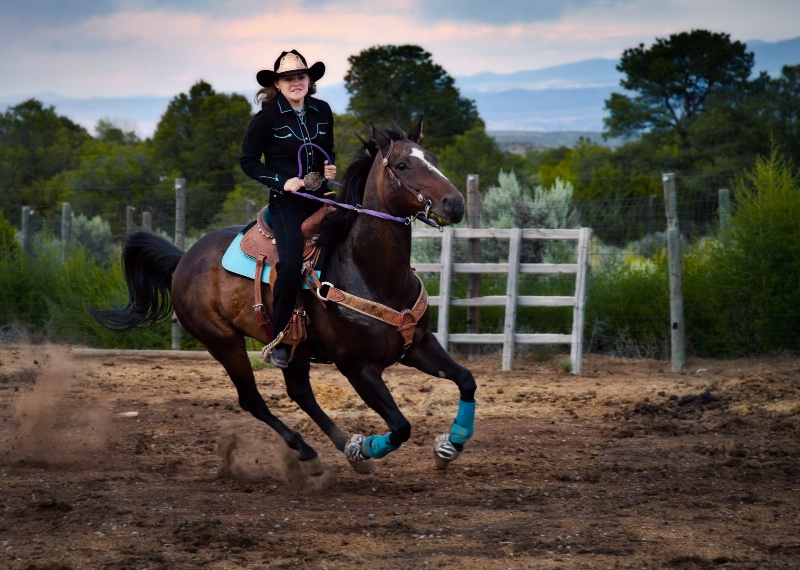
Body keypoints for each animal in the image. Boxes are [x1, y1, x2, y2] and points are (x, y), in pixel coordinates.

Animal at [93, 120, 476, 474]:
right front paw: (365, 448)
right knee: (252, 400)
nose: (455, 203)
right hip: (223, 342)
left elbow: (466, 381)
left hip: (293, 347)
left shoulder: (419, 345)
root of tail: (184, 259)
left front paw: (450, 444)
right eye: (402, 165)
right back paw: (309, 451)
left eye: (433, 158)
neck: (369, 271)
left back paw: (340, 449)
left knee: (299, 393)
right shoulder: (357, 366)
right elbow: (400, 427)